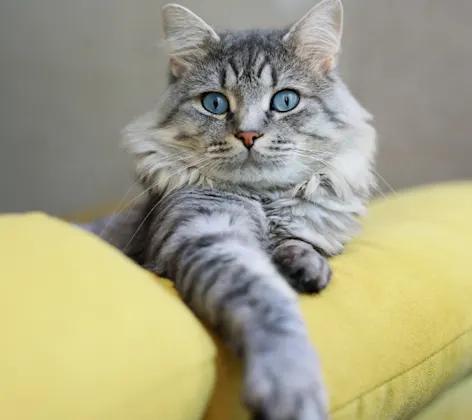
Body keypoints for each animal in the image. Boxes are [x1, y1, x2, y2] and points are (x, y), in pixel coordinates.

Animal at [80, 1, 376, 418]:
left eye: (285, 101)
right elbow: (267, 301)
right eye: (215, 103)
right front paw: (291, 387)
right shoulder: (208, 235)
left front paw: (307, 269)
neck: (263, 199)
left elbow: (302, 243)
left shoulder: (306, 229)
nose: (248, 135)